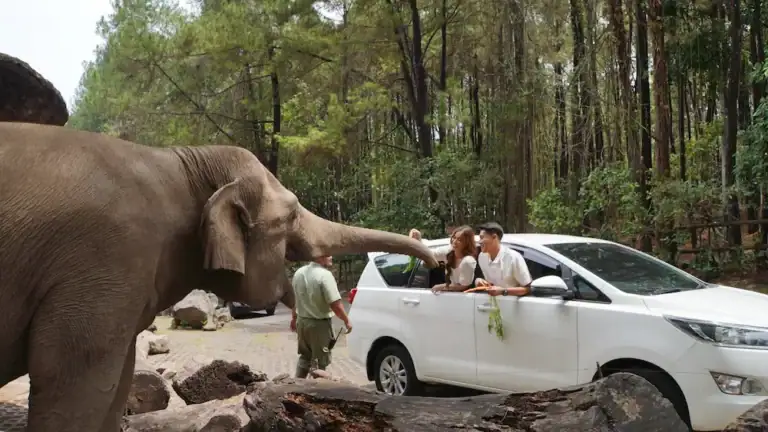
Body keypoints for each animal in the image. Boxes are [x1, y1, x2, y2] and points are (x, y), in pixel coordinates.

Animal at [0, 54, 438, 432]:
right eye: (290, 215)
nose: (437, 265)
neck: (183, 162)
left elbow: (118, 379)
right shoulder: (106, 258)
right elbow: (69, 376)